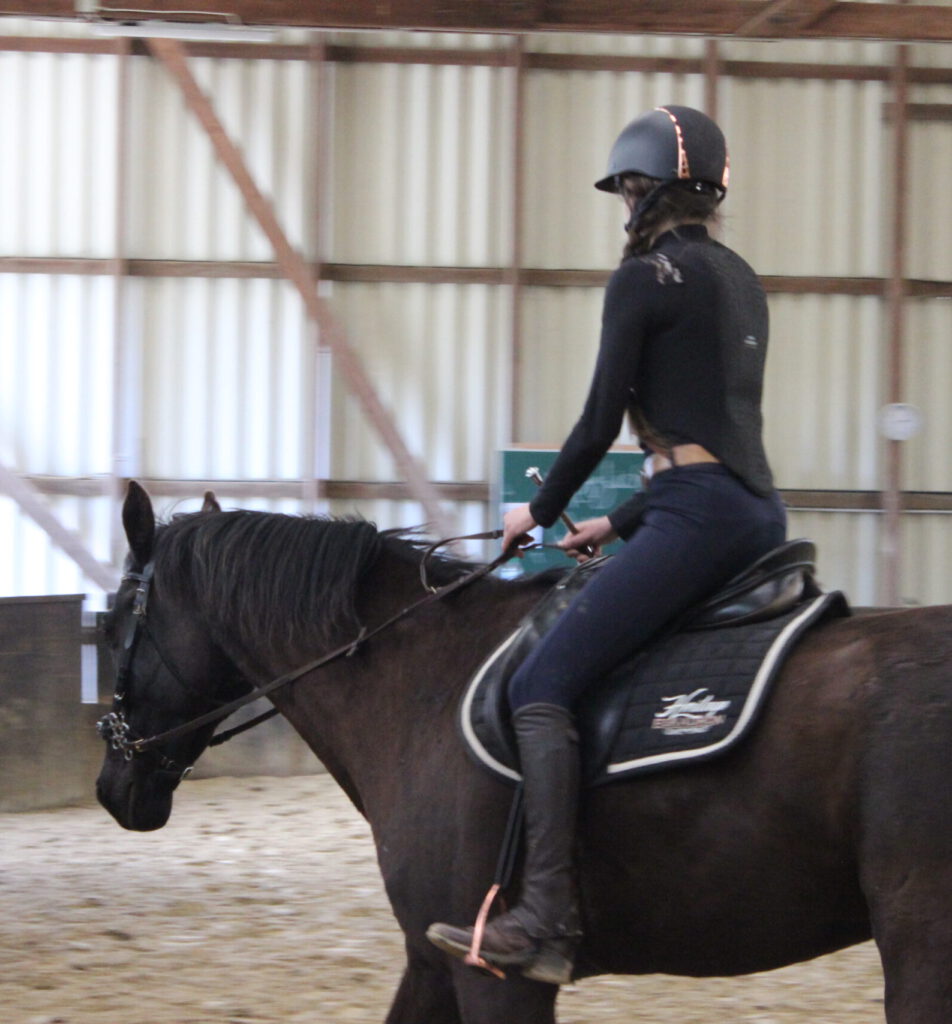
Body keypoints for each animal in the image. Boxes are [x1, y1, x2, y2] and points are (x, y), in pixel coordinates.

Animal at [94, 481, 949, 1024]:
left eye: (112, 621)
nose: (112, 784)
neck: (421, 680)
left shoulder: (496, 980)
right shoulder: (431, 962)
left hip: (920, 947)